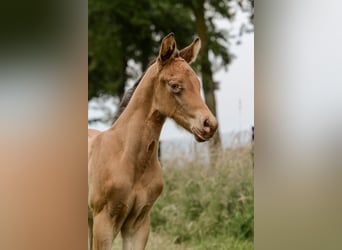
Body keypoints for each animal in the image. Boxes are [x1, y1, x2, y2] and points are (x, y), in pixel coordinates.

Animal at [87, 33, 216, 250]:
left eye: (198, 84)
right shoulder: (103, 222)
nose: (210, 125)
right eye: (174, 85)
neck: (127, 157)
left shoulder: (138, 224)